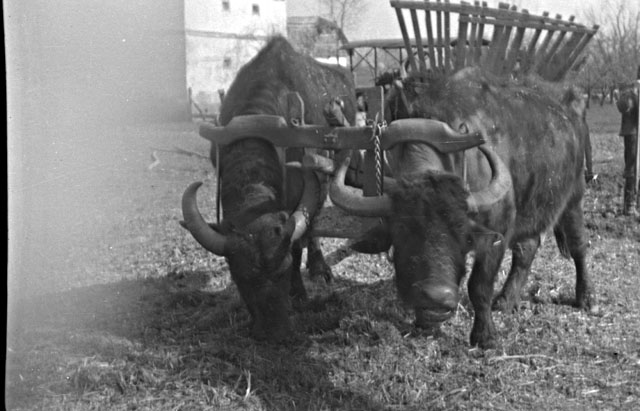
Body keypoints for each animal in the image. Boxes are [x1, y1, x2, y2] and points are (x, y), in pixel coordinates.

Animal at [181, 36, 356, 342]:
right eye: (239, 276)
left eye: (284, 271)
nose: (275, 332)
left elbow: (299, 242)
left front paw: (300, 291)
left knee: (314, 225)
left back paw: (319, 268)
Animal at [328, 67, 596, 348]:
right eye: (402, 232)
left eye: (461, 232)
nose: (436, 298)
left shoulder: (498, 229)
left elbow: (479, 286)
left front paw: (485, 335)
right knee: (527, 248)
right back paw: (506, 300)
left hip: (574, 196)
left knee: (578, 245)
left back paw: (586, 298)